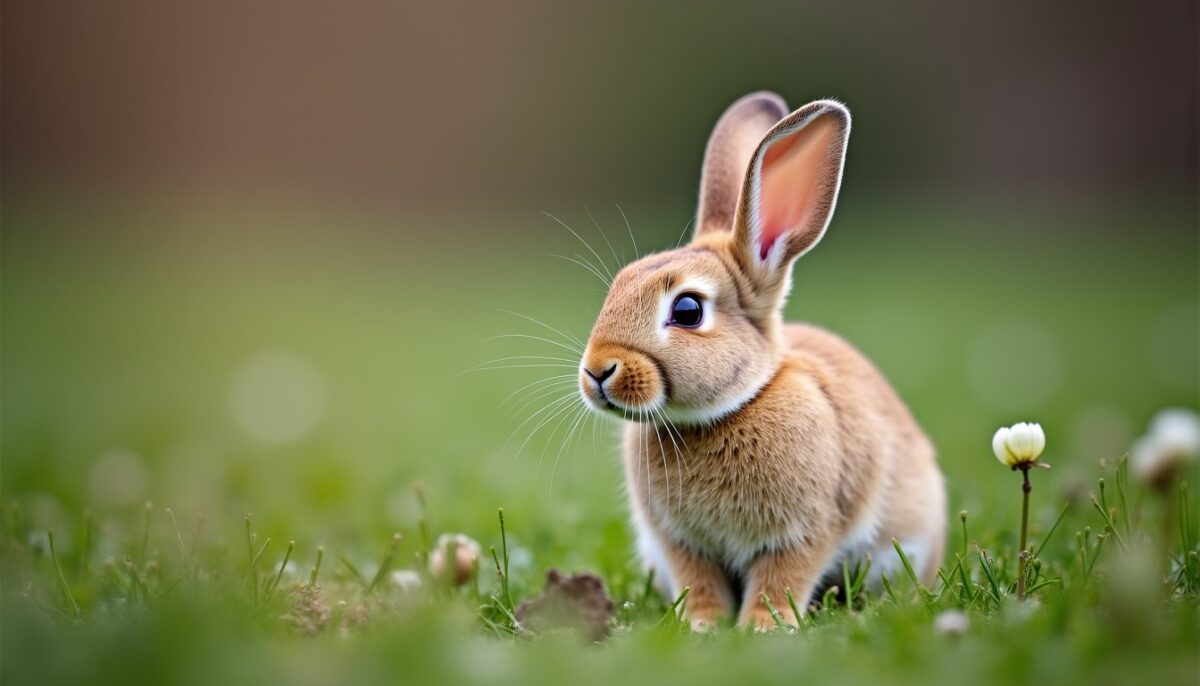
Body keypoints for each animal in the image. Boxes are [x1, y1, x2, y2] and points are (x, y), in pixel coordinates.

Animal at [577, 92, 945, 630]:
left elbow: (781, 580)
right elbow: (699, 584)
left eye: (687, 311)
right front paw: (704, 626)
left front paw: (763, 627)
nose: (597, 371)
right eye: (619, 284)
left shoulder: (804, 533)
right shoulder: (682, 545)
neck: (726, 411)